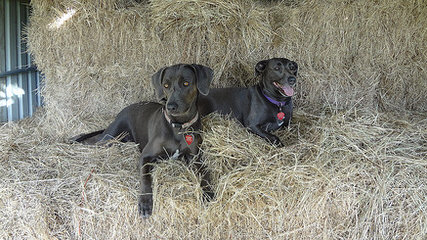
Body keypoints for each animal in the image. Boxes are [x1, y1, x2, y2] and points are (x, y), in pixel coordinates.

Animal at [72, 63, 217, 218]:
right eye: (166, 85)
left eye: (186, 83)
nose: (170, 106)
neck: (178, 126)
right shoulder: (145, 156)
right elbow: (145, 178)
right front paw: (145, 202)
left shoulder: (196, 157)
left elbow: (205, 173)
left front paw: (208, 192)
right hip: (109, 138)